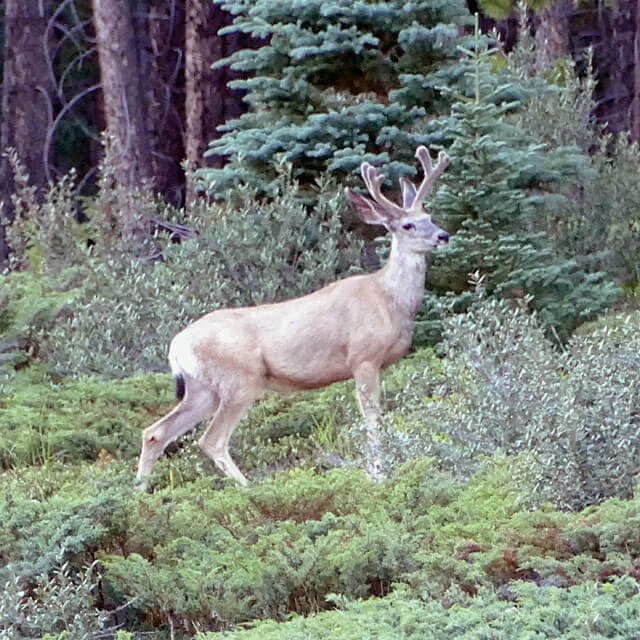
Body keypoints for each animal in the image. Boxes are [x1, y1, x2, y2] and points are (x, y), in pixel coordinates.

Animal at [136, 145, 450, 488]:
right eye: (408, 226)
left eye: (430, 216)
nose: (443, 235)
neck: (388, 300)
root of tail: (177, 345)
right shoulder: (363, 357)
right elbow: (372, 419)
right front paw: (377, 475)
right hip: (240, 378)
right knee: (211, 440)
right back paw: (249, 488)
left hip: (202, 388)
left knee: (155, 432)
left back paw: (139, 491)